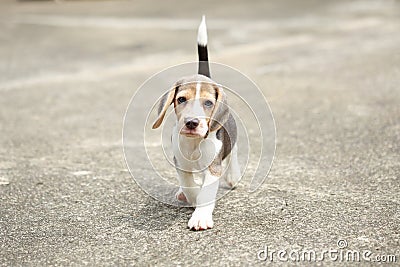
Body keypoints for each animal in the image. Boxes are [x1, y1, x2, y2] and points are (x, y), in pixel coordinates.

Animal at [152, 16, 241, 230]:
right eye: (181, 99)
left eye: (208, 103)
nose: (192, 122)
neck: (194, 143)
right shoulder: (180, 164)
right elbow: (190, 185)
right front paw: (191, 197)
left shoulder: (213, 167)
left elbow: (206, 193)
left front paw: (200, 216)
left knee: (233, 151)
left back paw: (233, 176)